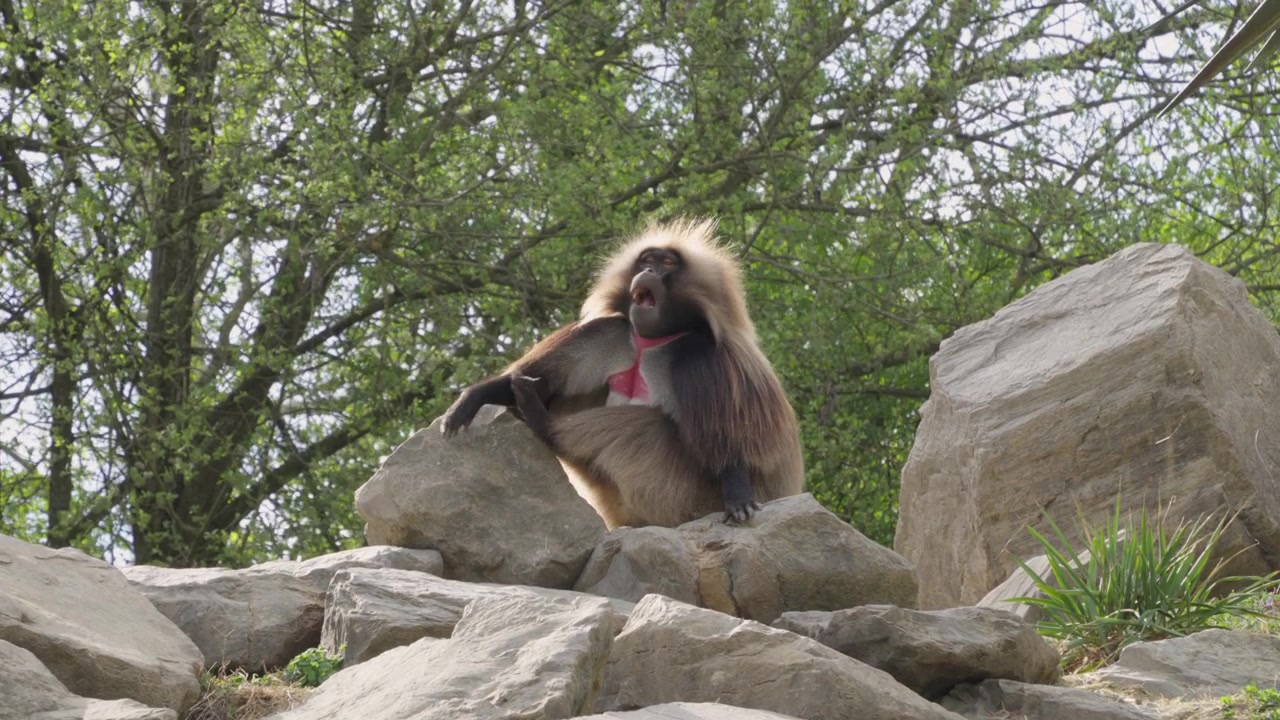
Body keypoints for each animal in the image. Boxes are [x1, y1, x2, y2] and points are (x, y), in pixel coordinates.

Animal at [441, 218, 804, 529]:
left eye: (667, 263)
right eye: (647, 259)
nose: (648, 270)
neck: (651, 339)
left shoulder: (704, 356)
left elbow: (729, 438)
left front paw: (738, 493)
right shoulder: (607, 331)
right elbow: (539, 379)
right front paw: (472, 398)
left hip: (690, 498)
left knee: (646, 427)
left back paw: (541, 419)